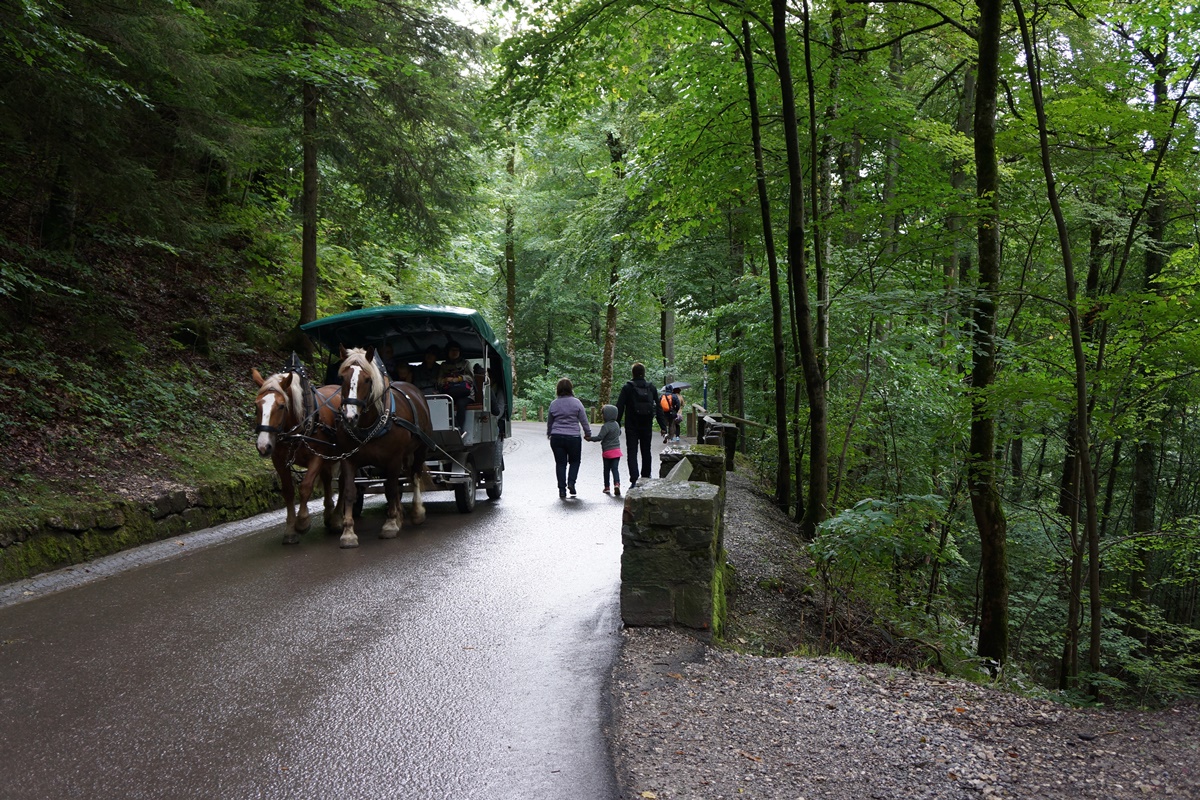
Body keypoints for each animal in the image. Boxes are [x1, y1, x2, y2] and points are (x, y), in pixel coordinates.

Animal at [252, 367, 343, 544]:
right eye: (256, 405)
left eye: (281, 406)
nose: (263, 446)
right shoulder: (279, 460)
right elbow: (288, 491)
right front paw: (290, 530)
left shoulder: (317, 457)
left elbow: (305, 486)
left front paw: (302, 522)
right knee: (328, 480)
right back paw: (329, 514)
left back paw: (336, 519)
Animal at [336, 347, 434, 546]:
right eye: (342, 377)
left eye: (367, 379)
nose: (350, 417)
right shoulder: (348, 459)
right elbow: (350, 491)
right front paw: (348, 532)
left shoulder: (393, 458)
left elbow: (390, 488)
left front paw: (390, 525)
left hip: (420, 448)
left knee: (415, 475)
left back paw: (416, 512)